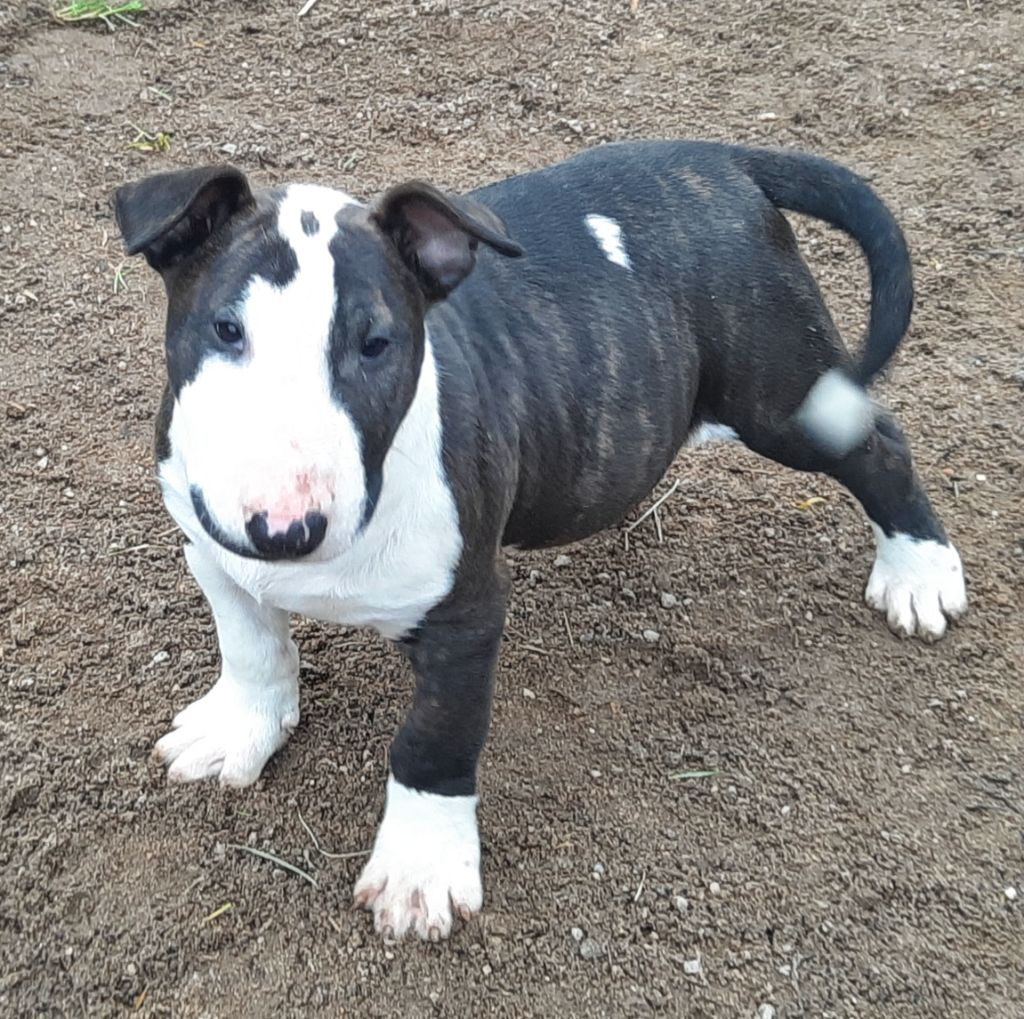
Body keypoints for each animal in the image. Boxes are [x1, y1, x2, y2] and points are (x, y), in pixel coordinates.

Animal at [114, 141, 966, 942]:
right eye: (226, 329)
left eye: (376, 344)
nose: (284, 526)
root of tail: (720, 159)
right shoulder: (212, 549)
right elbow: (253, 647)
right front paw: (240, 730)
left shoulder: (466, 616)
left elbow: (434, 740)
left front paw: (421, 867)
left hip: (781, 393)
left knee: (879, 446)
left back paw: (919, 570)